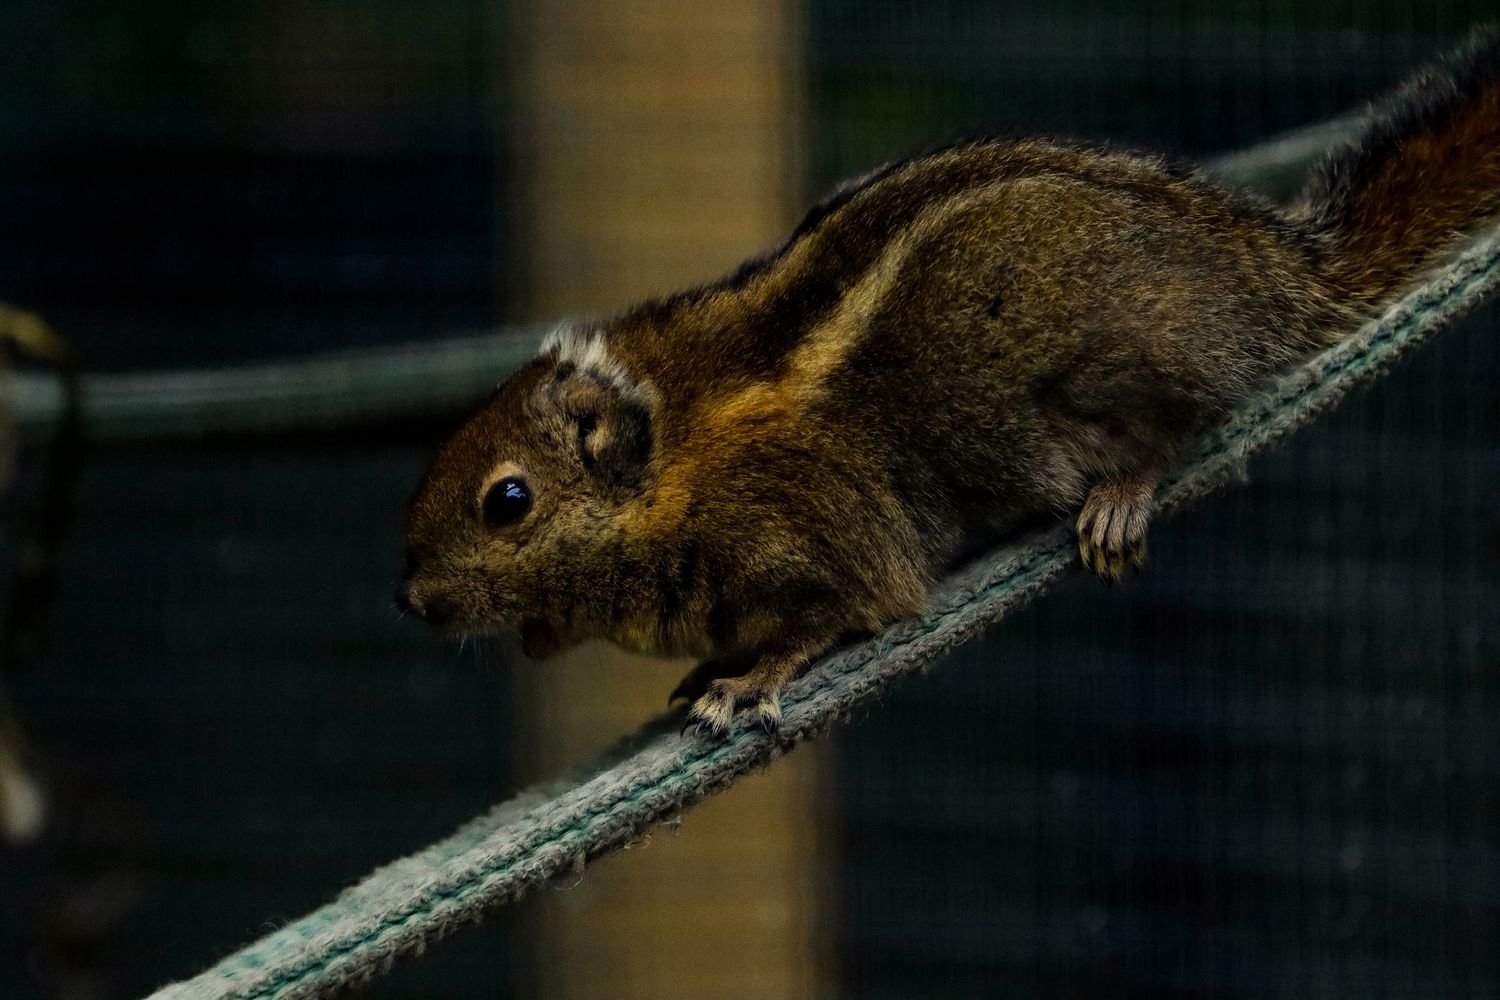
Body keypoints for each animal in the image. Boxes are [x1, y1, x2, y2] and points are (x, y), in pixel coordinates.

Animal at [398, 29, 1500, 738]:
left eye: (508, 501)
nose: (414, 601)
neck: (676, 460)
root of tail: (1274, 267)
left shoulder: (821, 531)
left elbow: (844, 613)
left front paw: (747, 678)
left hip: (1113, 355)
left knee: (1174, 423)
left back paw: (1123, 491)